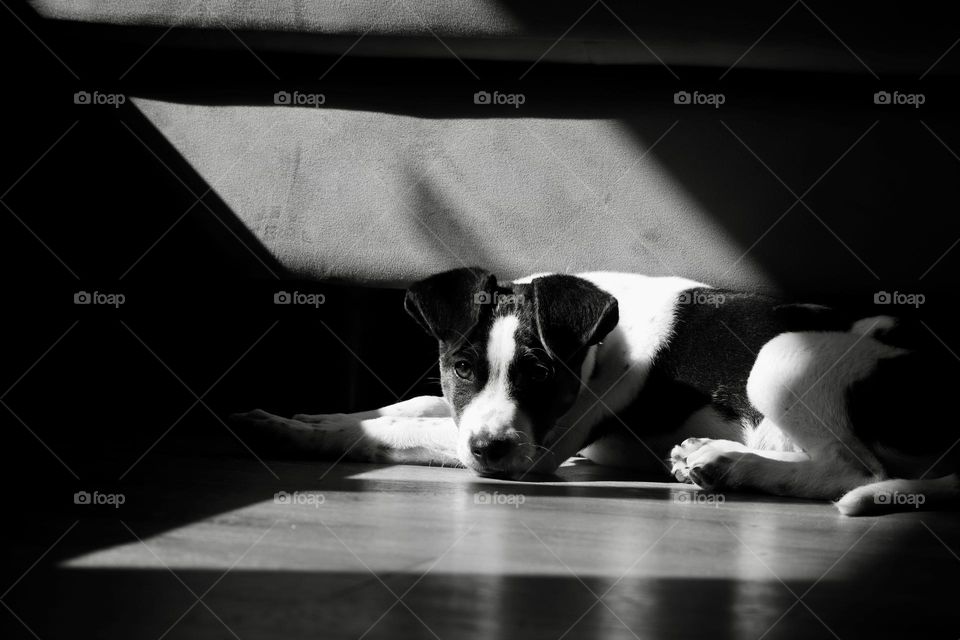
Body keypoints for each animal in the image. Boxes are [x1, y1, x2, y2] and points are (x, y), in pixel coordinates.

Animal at [234, 268, 960, 516]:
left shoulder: (541, 446)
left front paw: (298, 431)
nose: (491, 453)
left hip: (782, 360)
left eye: (541, 377)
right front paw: (307, 416)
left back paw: (728, 463)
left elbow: (402, 428)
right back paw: (711, 458)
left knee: (852, 471)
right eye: (461, 367)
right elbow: (406, 407)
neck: (599, 346)